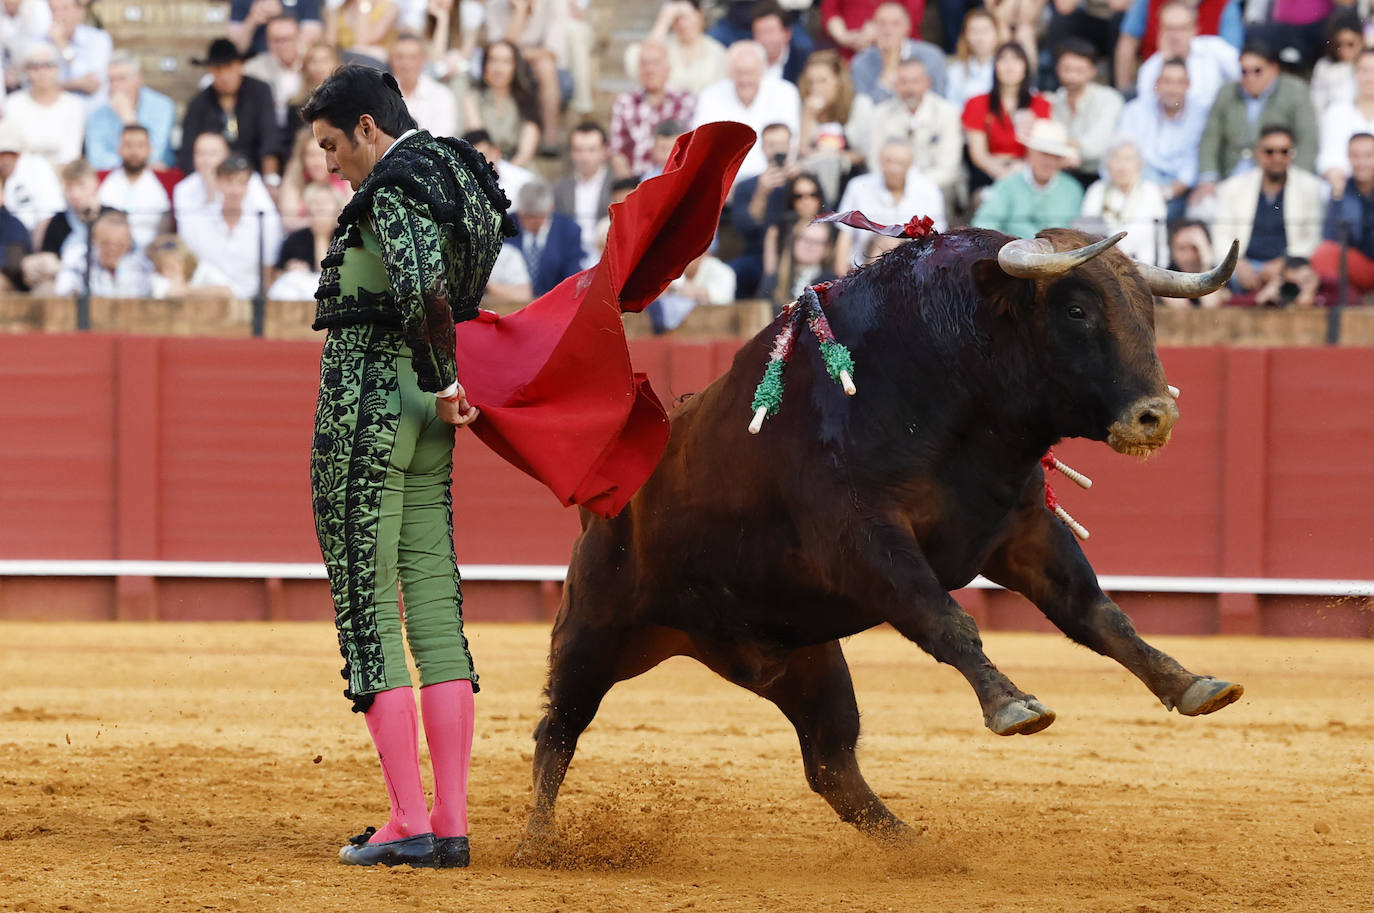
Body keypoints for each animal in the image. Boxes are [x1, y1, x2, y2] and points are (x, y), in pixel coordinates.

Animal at [519, 226, 1242, 841]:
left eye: (1147, 309)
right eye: (1076, 311)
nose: (1157, 414)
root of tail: (601, 497)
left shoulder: (1022, 531)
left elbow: (1097, 611)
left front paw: (1192, 684)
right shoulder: (862, 539)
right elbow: (945, 617)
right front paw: (1013, 705)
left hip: (809, 661)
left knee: (831, 762)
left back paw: (914, 848)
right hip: (594, 630)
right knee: (559, 727)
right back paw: (539, 842)